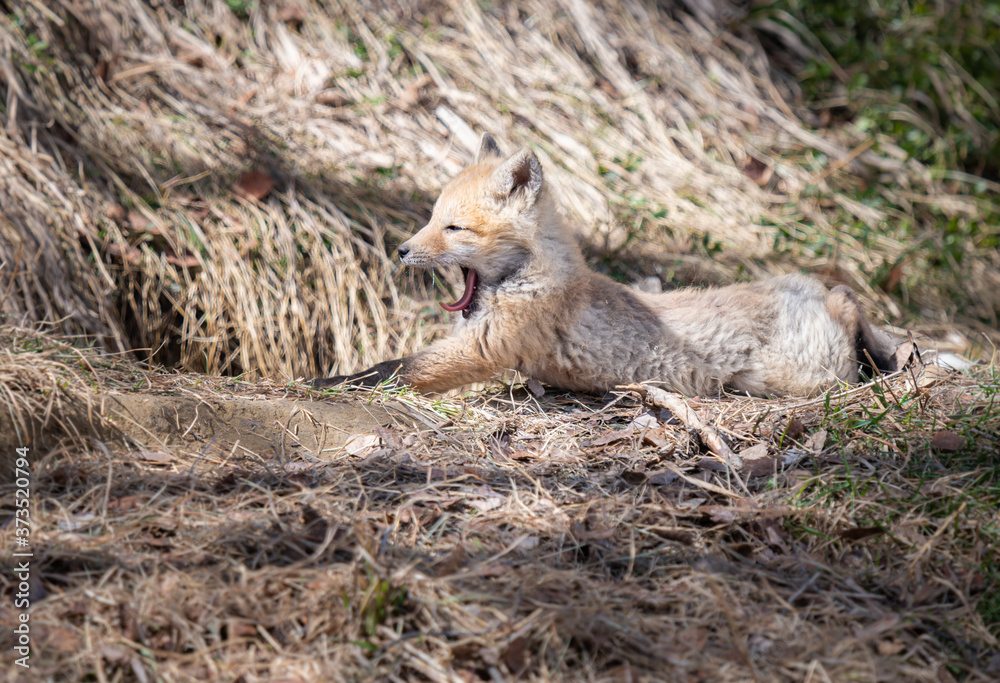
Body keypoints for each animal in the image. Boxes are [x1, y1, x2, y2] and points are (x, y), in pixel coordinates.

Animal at [312, 132, 898, 397]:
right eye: (432, 218)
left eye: (453, 228)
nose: (401, 250)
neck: (535, 281)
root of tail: (806, 295)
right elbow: (390, 367)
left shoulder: (484, 348)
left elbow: (393, 369)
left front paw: (322, 383)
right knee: (846, 298)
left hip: (796, 377)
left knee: (848, 325)